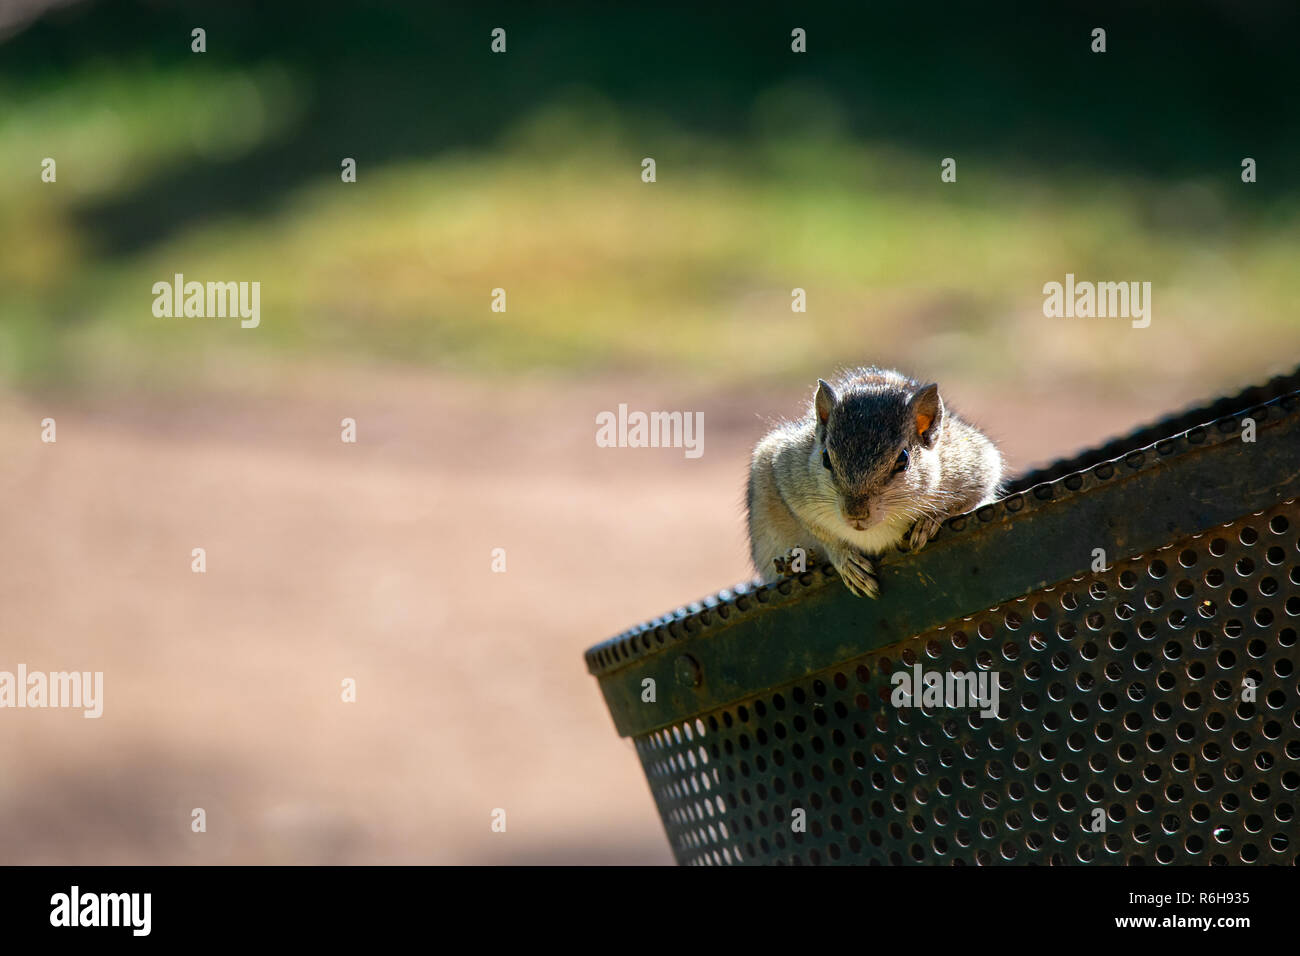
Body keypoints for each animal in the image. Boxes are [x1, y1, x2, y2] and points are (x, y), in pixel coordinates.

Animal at [743, 369, 1003, 598]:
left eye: (903, 460)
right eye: (826, 458)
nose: (855, 514)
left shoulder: (977, 466)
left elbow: (969, 499)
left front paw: (928, 521)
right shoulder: (788, 482)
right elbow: (821, 533)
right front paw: (844, 559)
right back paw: (791, 564)